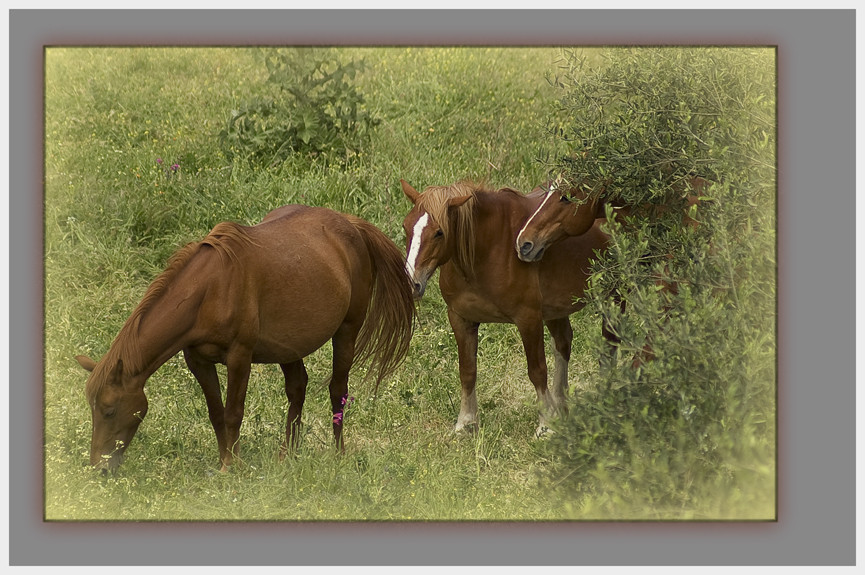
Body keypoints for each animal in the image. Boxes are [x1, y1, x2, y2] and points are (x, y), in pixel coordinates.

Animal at [74, 206, 416, 472]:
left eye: (108, 409)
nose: (99, 468)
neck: (210, 290)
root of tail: (350, 224)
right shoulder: (197, 360)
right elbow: (216, 413)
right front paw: (225, 461)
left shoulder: (240, 357)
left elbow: (233, 412)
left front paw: (232, 466)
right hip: (288, 346)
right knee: (298, 389)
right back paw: (287, 456)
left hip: (347, 330)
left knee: (337, 391)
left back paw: (338, 455)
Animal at [400, 178, 608, 434]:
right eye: (406, 227)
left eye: (439, 232)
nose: (412, 284)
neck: (489, 249)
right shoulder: (460, 319)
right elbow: (467, 371)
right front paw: (465, 423)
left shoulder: (528, 319)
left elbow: (537, 371)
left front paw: (545, 424)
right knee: (563, 343)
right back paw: (561, 407)